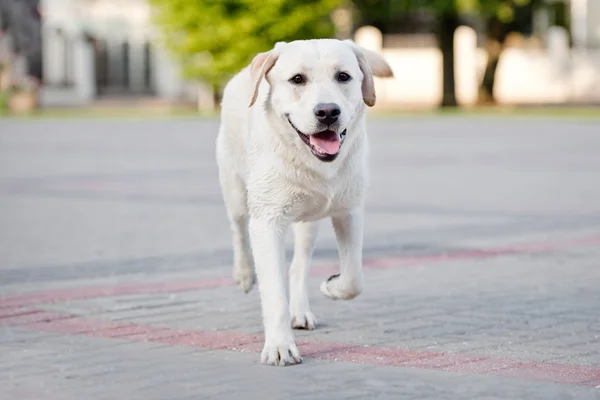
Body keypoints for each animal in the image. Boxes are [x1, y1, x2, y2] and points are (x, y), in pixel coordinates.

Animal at [216, 38, 394, 366]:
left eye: (343, 76)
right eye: (297, 79)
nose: (327, 111)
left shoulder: (349, 211)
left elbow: (354, 278)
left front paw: (333, 285)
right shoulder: (267, 222)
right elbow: (273, 290)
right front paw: (279, 346)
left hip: (309, 223)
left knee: (298, 267)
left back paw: (299, 311)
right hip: (234, 189)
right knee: (238, 230)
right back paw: (244, 275)